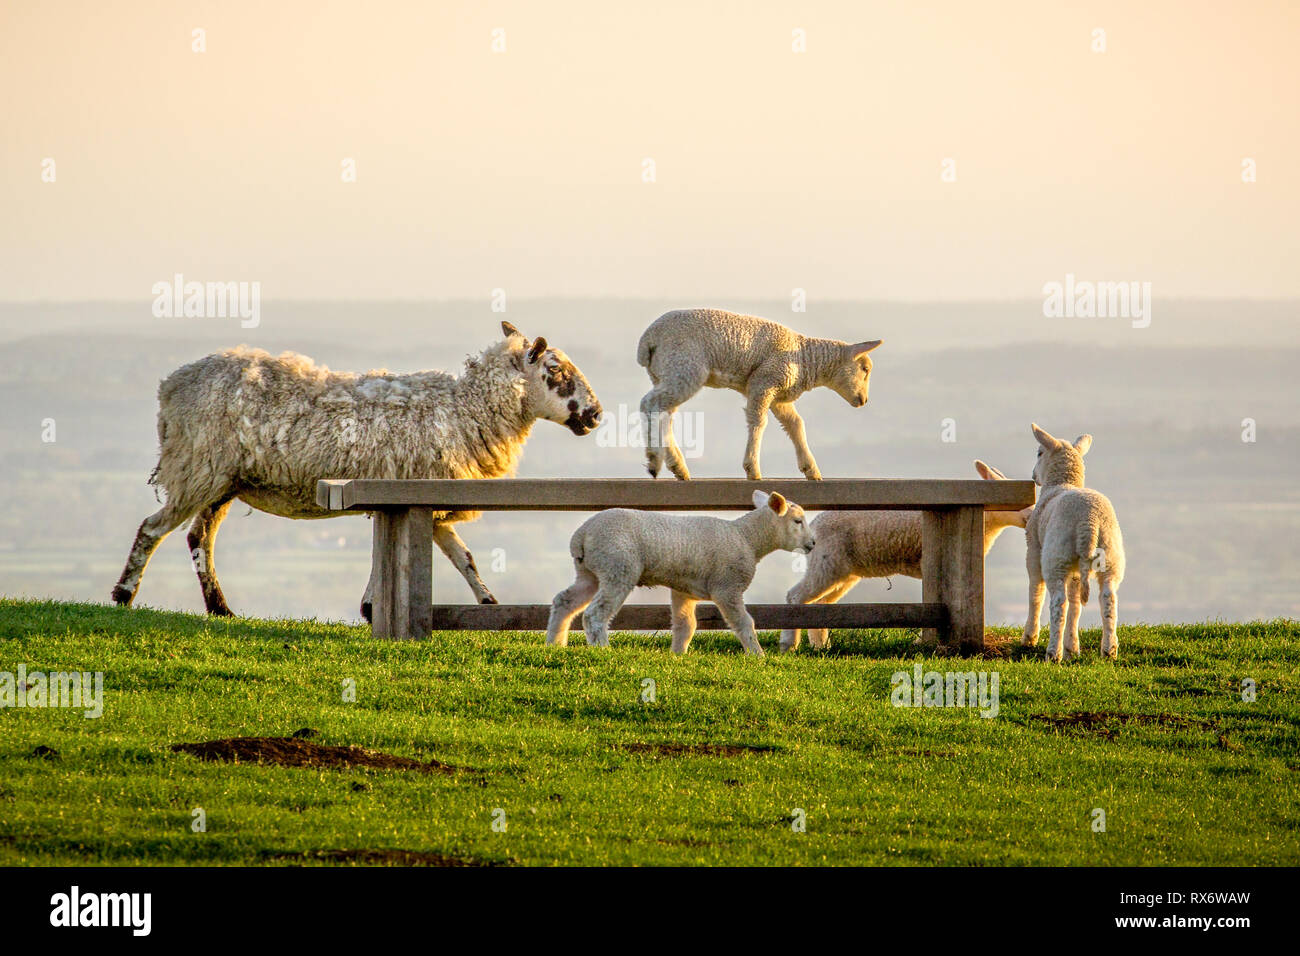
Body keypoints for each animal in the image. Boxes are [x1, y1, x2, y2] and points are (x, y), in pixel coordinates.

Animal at [110, 321, 603, 621]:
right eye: (557, 370)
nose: (596, 415)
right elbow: (395, 556)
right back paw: (123, 595)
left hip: (223, 479)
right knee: (152, 529)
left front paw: (487, 602)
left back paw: (220, 609)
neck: (466, 409)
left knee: (199, 538)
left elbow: (463, 557)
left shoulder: (427, 498)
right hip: (198, 468)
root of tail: (171, 387)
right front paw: (372, 609)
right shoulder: (404, 493)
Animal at [546, 494, 811, 658]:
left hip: (590, 572)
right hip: (618, 567)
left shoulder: (684, 589)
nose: (813, 543)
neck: (747, 538)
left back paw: (554, 644)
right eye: (798, 521)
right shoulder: (727, 587)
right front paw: (758, 655)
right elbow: (744, 622)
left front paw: (678, 655)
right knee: (594, 614)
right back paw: (602, 649)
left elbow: (686, 625)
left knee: (564, 601)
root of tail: (581, 535)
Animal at [634, 310, 878, 481]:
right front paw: (752, 468)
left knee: (664, 413)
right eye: (865, 369)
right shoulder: (764, 381)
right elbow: (759, 422)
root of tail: (648, 340)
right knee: (649, 403)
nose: (864, 401)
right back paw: (654, 460)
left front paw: (811, 469)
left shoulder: (779, 395)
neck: (804, 358)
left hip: (667, 373)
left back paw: (677, 466)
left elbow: (795, 424)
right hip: (685, 367)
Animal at [774, 460, 1029, 655]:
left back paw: (821, 647)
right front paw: (923, 642)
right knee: (795, 596)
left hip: (841, 571)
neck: (989, 523)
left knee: (819, 604)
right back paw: (789, 645)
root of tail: (814, 526)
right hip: (826, 562)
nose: (1030, 515)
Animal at [1024, 421, 1128, 660]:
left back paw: (1053, 653)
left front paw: (1030, 638)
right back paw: (1109, 650)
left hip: (1056, 556)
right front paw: (1072, 647)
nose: (1033, 476)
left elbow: (1036, 593)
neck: (1062, 483)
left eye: (1039, 453)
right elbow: (1076, 604)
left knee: (1058, 602)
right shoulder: (1075, 569)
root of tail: (1089, 522)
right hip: (1110, 555)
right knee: (1108, 598)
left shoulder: (1033, 549)